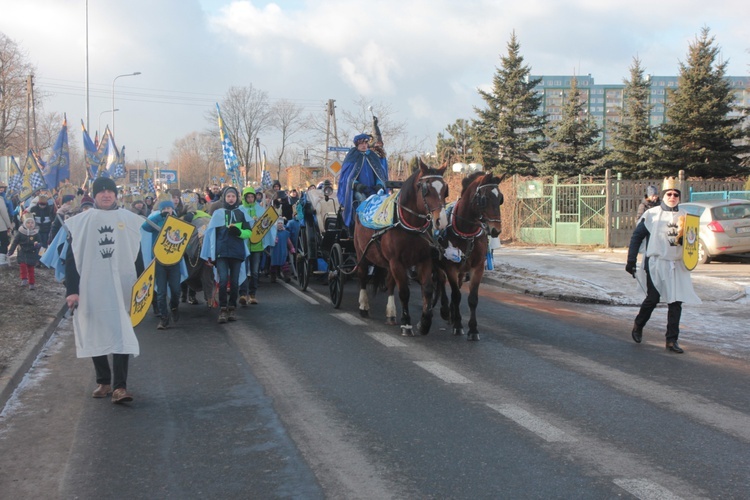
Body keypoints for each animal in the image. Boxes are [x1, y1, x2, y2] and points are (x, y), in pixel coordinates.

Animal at [356, 159, 450, 336]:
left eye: (445, 190)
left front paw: (425, 322)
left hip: (387, 263)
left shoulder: (424, 260)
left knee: (390, 283)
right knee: (363, 276)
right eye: (426, 189)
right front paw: (406, 323)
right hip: (362, 254)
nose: (441, 221)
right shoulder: (396, 262)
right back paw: (364, 306)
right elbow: (404, 292)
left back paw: (391, 313)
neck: (409, 225)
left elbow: (427, 289)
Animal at [434, 171, 506, 340]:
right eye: (484, 198)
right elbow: (456, 295)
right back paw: (446, 310)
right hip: (440, 264)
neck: (466, 232)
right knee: (441, 282)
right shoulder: (451, 267)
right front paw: (458, 325)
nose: (496, 230)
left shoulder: (477, 267)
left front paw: (473, 329)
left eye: (500, 198)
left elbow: (472, 299)